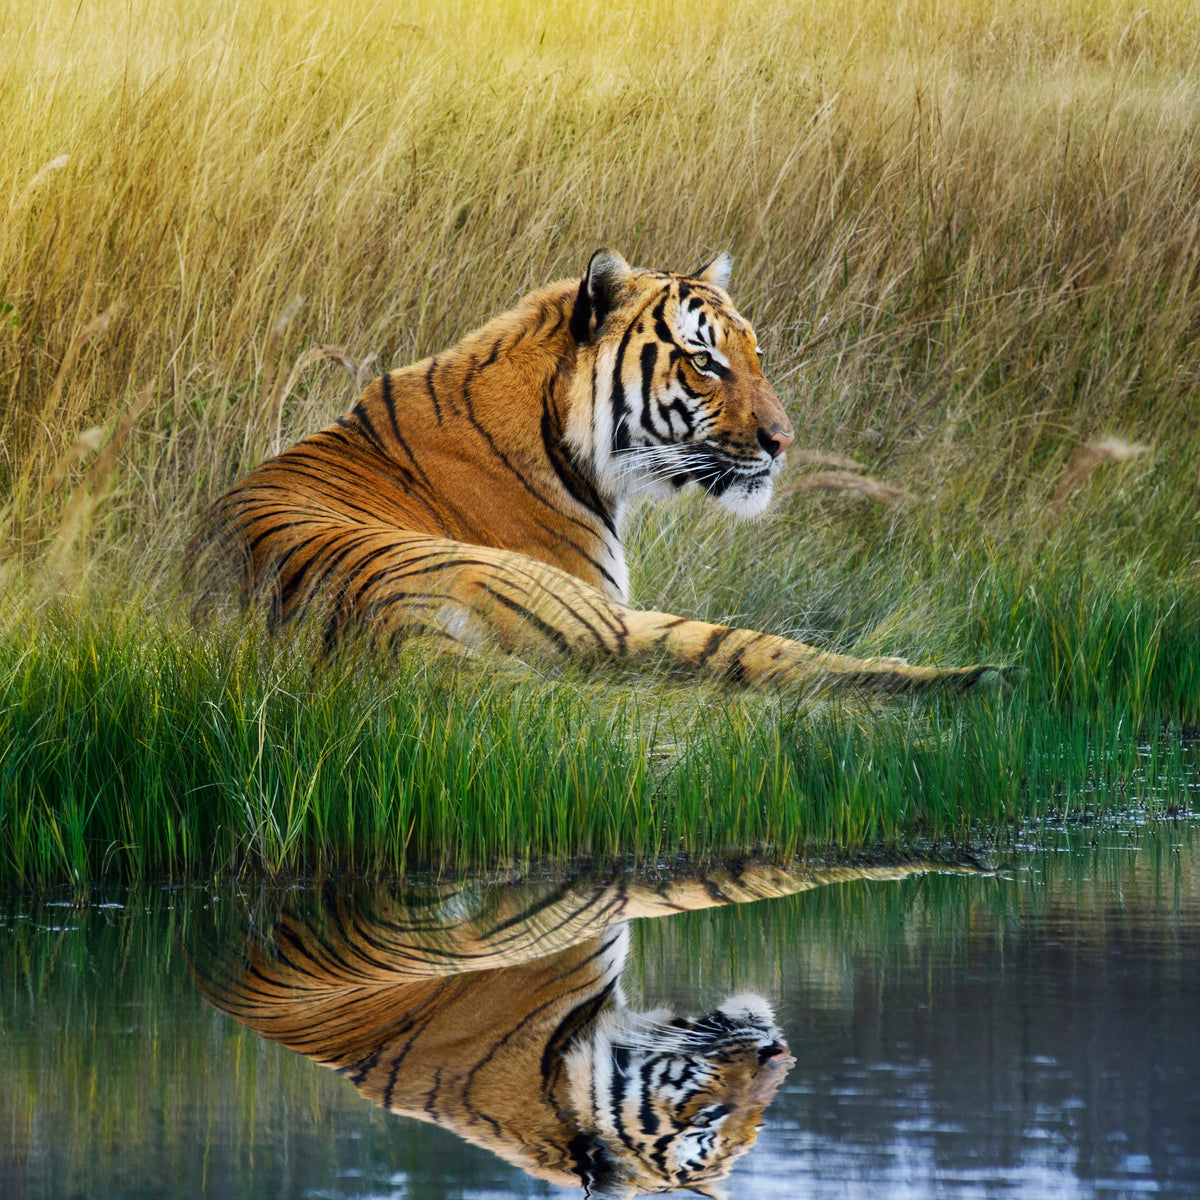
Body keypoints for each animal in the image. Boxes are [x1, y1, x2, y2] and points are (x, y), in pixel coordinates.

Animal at [187, 249, 1002, 693]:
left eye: (755, 353)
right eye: (705, 361)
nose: (783, 441)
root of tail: (395, 639)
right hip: (596, 616)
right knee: (766, 655)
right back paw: (968, 678)